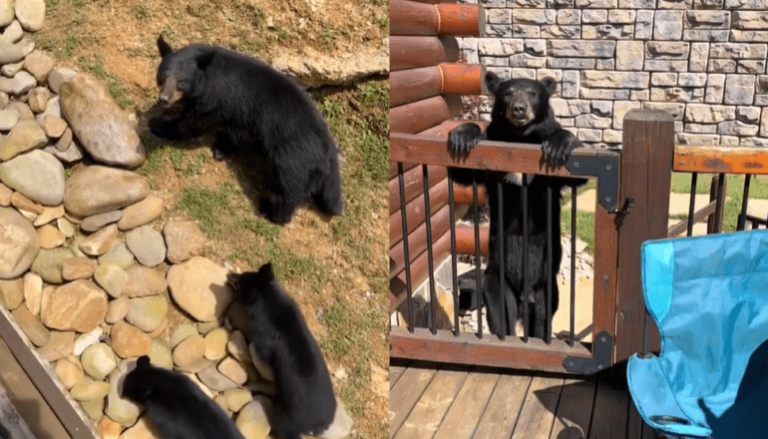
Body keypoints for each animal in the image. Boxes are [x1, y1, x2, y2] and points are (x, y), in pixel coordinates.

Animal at [148, 35, 344, 224]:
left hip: (294, 157)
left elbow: (193, 122)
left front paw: (157, 124)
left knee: (287, 188)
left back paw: (271, 211)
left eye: (181, 81)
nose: (163, 99)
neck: (207, 76)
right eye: (163, 76)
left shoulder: (216, 98)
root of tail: (329, 151)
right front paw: (221, 147)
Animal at [226, 263, 336, 439]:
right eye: (243, 274)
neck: (270, 299)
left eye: (239, 284)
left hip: (284, 414)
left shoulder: (262, 335)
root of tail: (316, 425)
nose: (228, 275)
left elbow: (259, 351)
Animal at [448, 72, 585, 340]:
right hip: (496, 286)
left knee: (542, 321)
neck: (520, 138)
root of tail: (523, 298)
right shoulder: (492, 155)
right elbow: (461, 172)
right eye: (508, 92)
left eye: (532, 93)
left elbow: (579, 174)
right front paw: (462, 135)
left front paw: (560, 143)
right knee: (502, 319)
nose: (519, 109)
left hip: (545, 289)